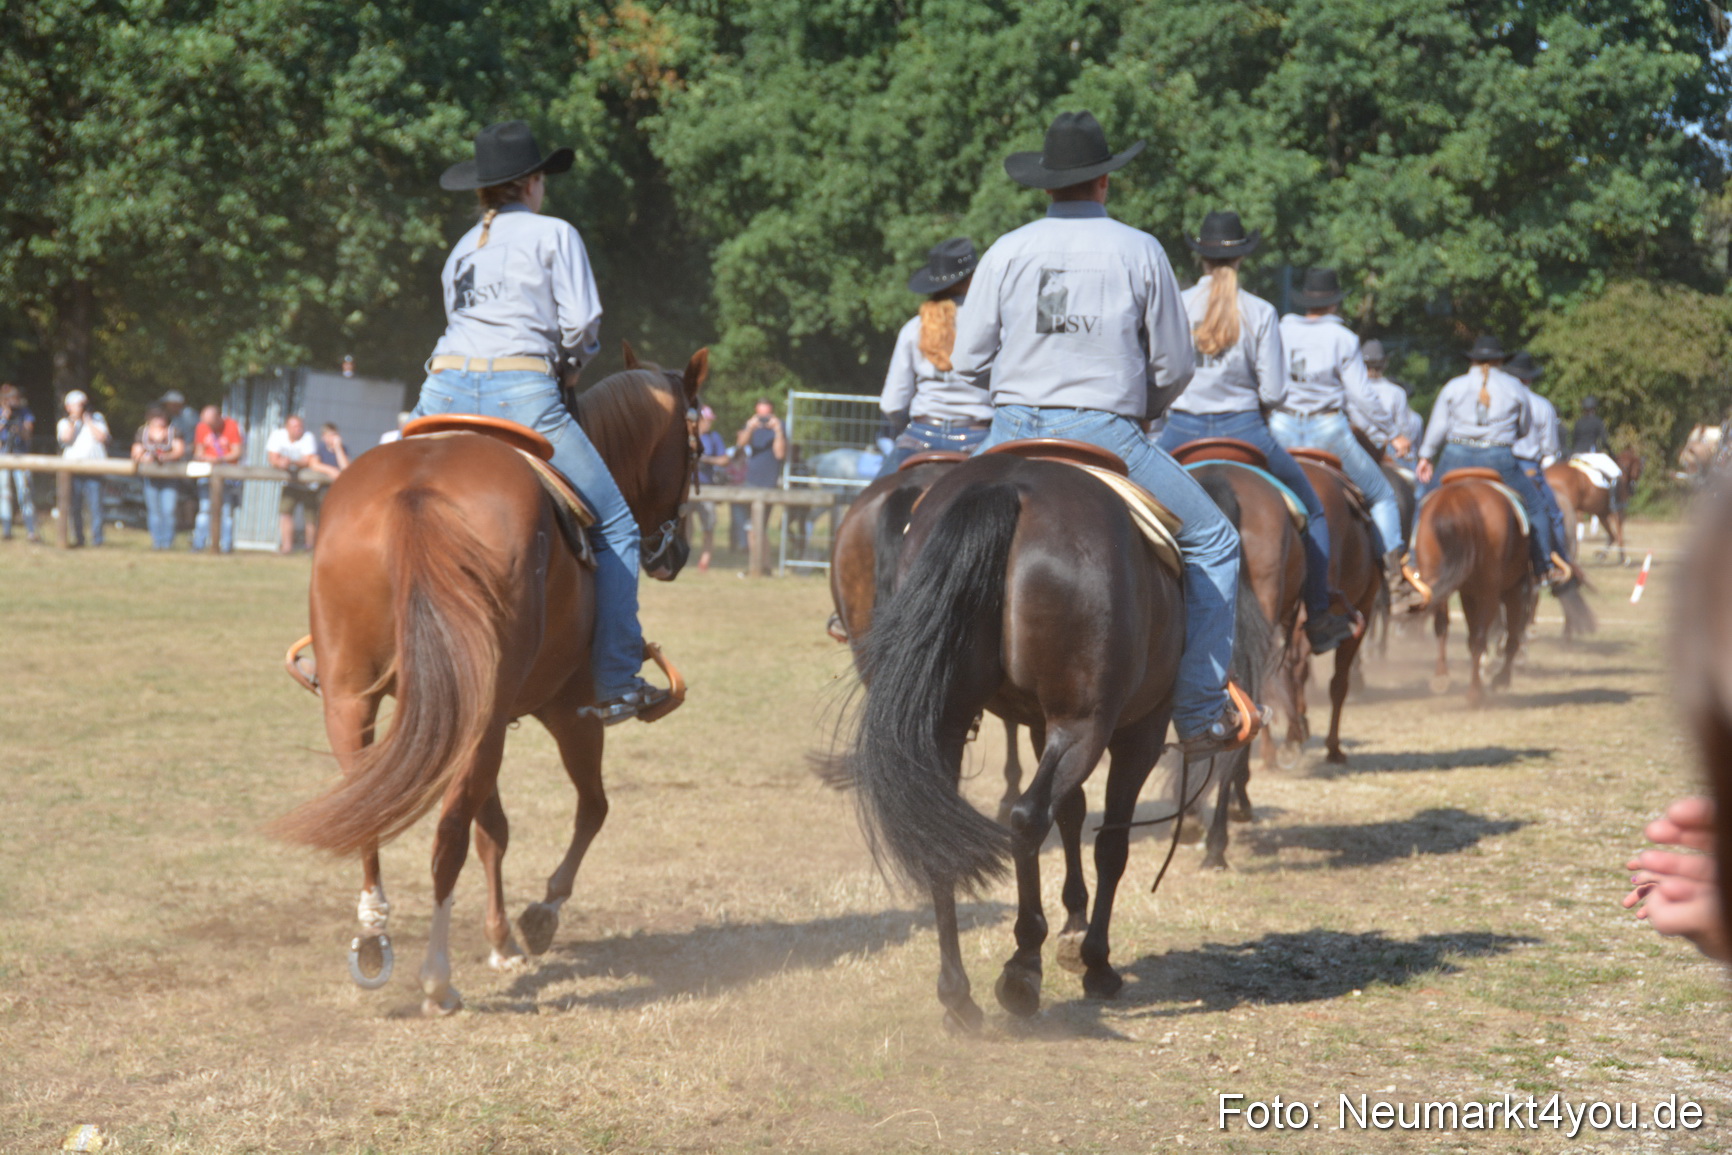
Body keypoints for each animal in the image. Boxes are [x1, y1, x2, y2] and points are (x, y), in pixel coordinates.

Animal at [271, 347, 707, 1016]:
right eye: (699, 445)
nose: (676, 554)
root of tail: (419, 492)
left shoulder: (478, 715)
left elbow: (493, 829)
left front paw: (501, 937)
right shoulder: (571, 711)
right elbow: (591, 809)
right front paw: (538, 918)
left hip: (355, 701)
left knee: (374, 809)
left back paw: (373, 939)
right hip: (486, 716)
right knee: (451, 832)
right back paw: (437, 980)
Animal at [1402, 472, 1530, 706]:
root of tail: (1459, 497)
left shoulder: (1468, 593)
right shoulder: (1516, 588)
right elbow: (1512, 637)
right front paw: (1502, 679)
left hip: (1436, 580)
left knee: (1443, 626)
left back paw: (1442, 677)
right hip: (1492, 591)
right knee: (1482, 637)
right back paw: (1475, 692)